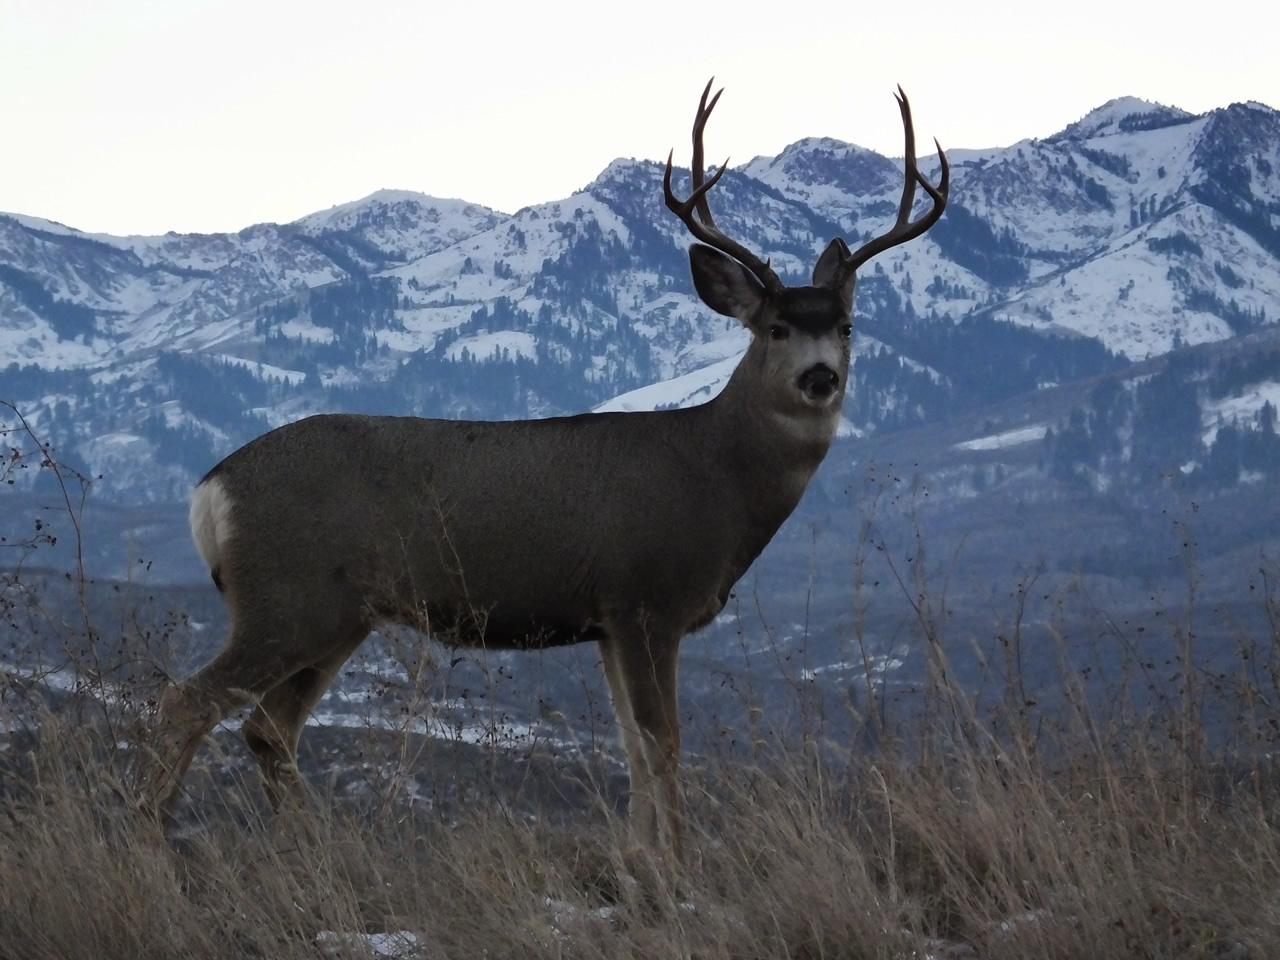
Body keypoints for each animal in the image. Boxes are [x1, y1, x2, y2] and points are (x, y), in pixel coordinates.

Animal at [138, 79, 948, 856]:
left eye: (846, 326)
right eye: (776, 327)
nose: (820, 378)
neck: (714, 476)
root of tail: (210, 489)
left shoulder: (608, 621)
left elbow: (632, 745)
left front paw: (640, 860)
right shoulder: (646, 599)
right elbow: (664, 743)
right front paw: (681, 866)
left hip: (338, 613)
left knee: (267, 727)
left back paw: (320, 851)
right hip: (288, 597)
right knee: (188, 702)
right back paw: (156, 846)